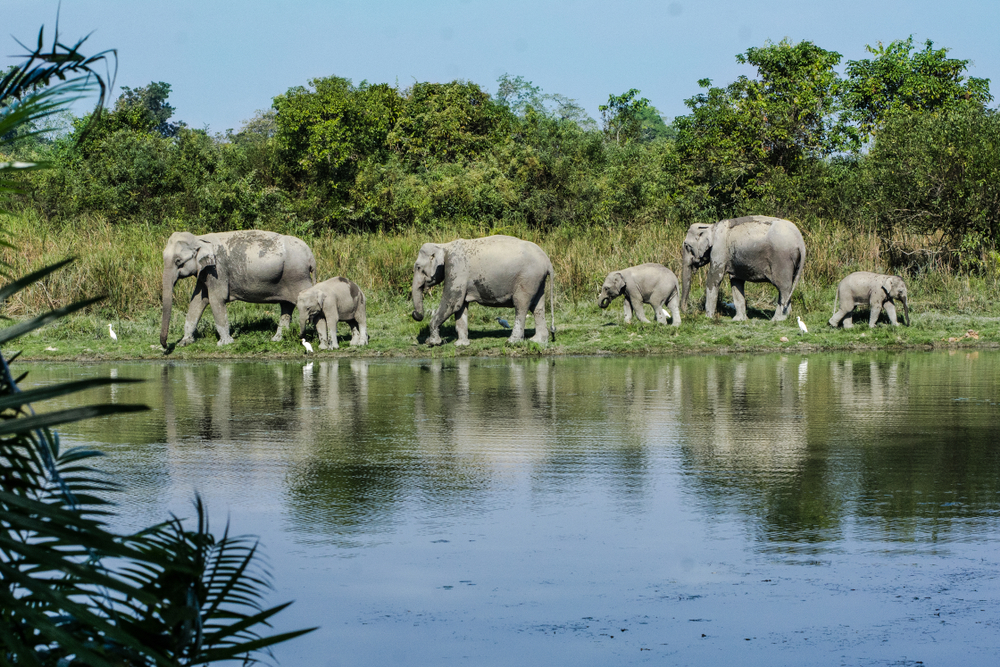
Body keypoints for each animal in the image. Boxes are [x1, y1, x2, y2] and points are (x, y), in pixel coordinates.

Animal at [158, 230, 314, 348]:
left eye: (178, 261)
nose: (165, 346)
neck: (199, 238)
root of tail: (311, 255)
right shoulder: (205, 273)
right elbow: (197, 301)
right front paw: (184, 342)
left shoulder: (218, 270)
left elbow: (216, 299)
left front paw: (224, 343)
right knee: (286, 305)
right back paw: (277, 339)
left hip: (297, 276)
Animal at [410, 235, 560, 348]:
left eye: (418, 267)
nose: (416, 314)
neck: (444, 246)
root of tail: (547, 261)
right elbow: (460, 306)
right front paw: (461, 345)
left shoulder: (457, 269)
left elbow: (452, 303)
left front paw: (432, 343)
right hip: (537, 280)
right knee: (538, 306)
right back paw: (537, 341)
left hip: (527, 279)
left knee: (521, 305)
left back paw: (511, 342)